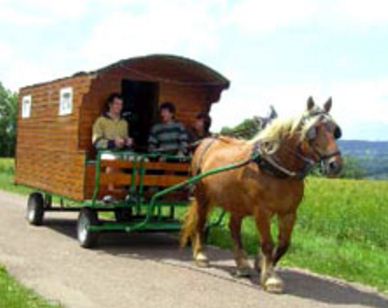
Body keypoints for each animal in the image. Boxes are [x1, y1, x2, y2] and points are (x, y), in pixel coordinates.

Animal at [181, 97, 342, 292]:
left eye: (335, 130)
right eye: (313, 130)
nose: (335, 164)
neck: (276, 169)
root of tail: (206, 141)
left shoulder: (289, 213)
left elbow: (283, 244)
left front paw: (261, 264)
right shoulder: (262, 212)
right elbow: (267, 243)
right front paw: (271, 277)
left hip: (237, 202)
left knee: (234, 228)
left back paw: (242, 264)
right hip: (202, 196)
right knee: (200, 222)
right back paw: (200, 255)